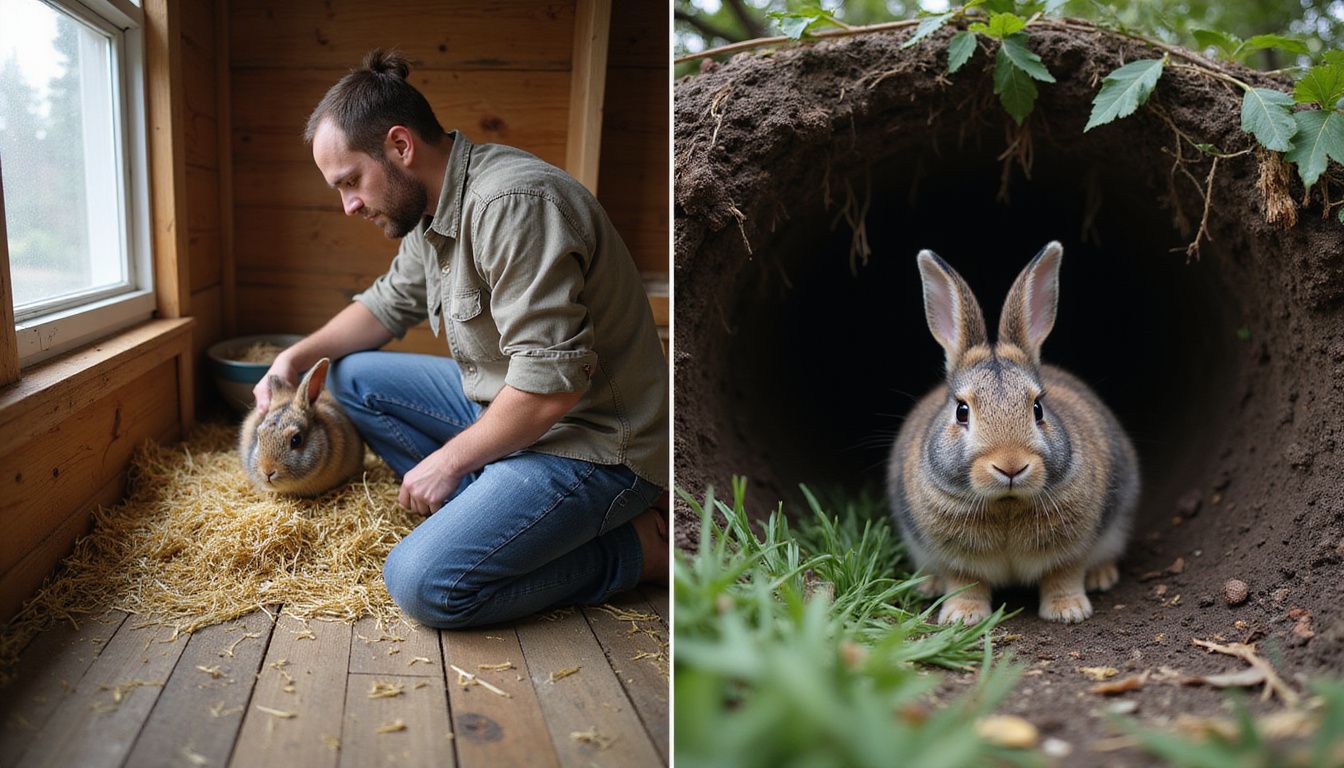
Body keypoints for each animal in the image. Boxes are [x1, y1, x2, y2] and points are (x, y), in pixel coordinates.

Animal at [887, 242, 1139, 625]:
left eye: (1038, 409)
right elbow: (965, 582)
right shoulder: (954, 559)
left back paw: (1101, 576)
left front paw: (1068, 611)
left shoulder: (1072, 550)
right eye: (962, 411)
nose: (1010, 466)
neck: (1005, 504)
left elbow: (1063, 573)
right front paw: (962, 617)